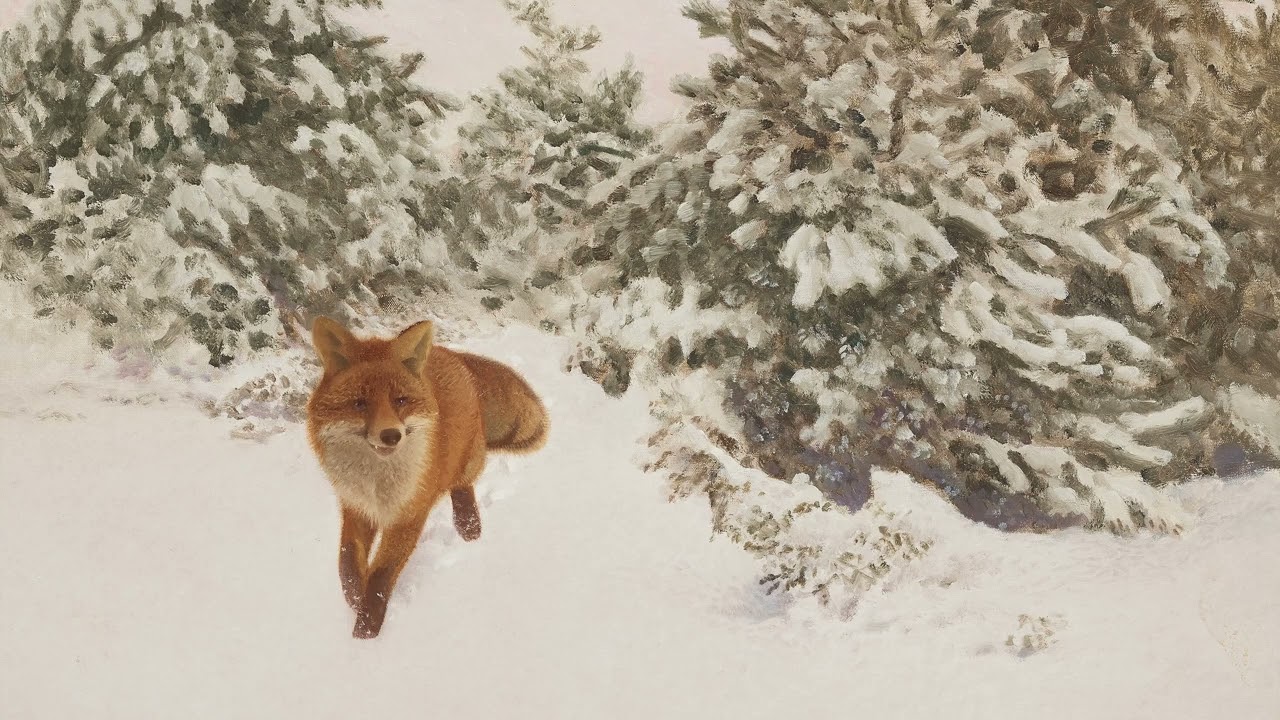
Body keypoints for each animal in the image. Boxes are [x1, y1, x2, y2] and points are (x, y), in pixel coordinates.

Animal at [306, 316, 548, 639]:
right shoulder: (356, 506)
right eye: (359, 404)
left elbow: (381, 577)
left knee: (462, 484)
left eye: (400, 400)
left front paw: (365, 635)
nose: (391, 435)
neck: (378, 485)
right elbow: (346, 564)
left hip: (467, 458)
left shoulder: (410, 514)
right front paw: (355, 599)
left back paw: (468, 526)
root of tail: (451, 354)